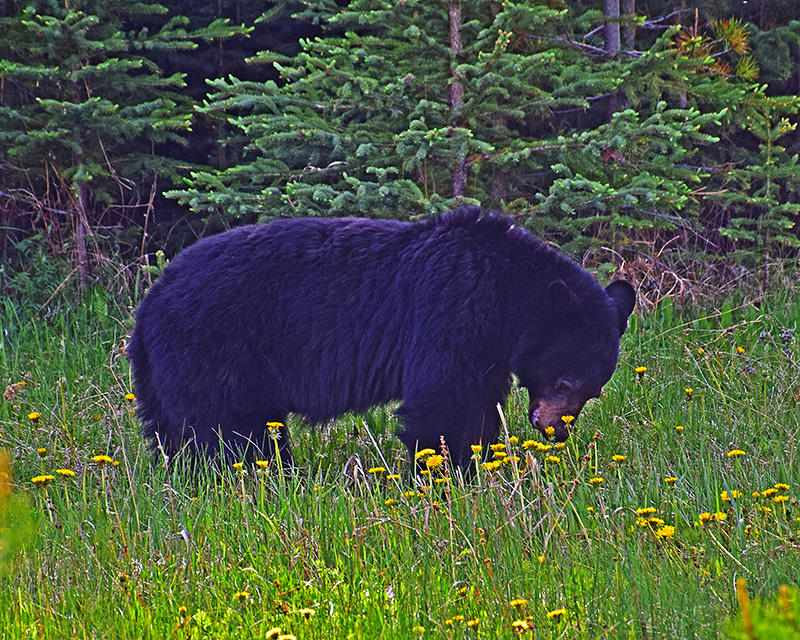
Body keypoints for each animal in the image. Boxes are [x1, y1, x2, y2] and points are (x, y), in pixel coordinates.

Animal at [128, 208, 636, 468]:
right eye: (565, 381)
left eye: (594, 391)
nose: (555, 430)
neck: (505, 293)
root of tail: (149, 303)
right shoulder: (450, 310)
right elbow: (446, 400)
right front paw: (446, 470)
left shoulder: (487, 349)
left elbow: (480, 402)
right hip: (215, 349)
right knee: (229, 427)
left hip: (163, 373)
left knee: (171, 429)